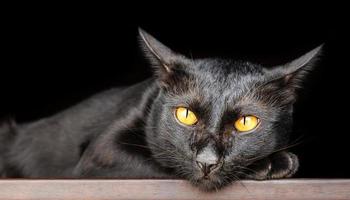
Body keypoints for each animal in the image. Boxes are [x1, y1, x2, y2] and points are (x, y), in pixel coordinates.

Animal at [0, 28, 322, 191]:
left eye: (246, 122)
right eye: (186, 115)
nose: (207, 161)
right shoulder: (103, 152)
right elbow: (165, 162)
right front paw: (273, 164)